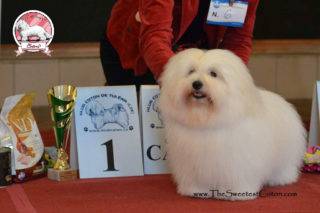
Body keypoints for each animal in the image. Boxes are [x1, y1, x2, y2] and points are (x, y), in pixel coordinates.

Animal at [159, 49, 306, 201]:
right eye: (191, 71)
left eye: (213, 73)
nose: (196, 84)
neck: (207, 121)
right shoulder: (193, 165)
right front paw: (196, 191)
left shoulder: (238, 163)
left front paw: (237, 193)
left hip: (286, 155)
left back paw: (282, 179)